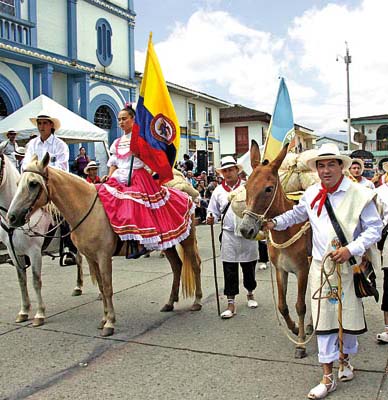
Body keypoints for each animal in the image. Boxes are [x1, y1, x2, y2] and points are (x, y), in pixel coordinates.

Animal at [6, 153, 203, 338]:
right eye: (17, 183)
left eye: (33, 183)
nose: (12, 217)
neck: (87, 209)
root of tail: (186, 193)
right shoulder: (90, 257)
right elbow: (101, 286)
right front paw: (104, 319)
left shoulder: (103, 256)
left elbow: (107, 288)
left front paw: (110, 323)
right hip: (169, 243)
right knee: (177, 266)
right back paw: (170, 303)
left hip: (186, 240)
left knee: (195, 265)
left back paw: (197, 302)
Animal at [239, 141, 312, 360]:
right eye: (246, 187)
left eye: (268, 189)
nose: (245, 229)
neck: (288, 230)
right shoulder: (281, 270)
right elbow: (282, 305)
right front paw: (295, 328)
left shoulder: (302, 270)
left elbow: (300, 305)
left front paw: (300, 344)